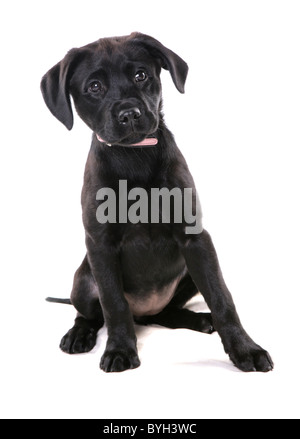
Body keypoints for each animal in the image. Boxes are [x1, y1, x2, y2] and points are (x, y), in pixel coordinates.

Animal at [41, 32, 274, 372]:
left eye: (141, 75)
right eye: (94, 87)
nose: (129, 114)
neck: (134, 158)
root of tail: (144, 310)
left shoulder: (196, 239)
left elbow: (221, 298)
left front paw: (245, 349)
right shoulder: (100, 245)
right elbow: (114, 304)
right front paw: (120, 349)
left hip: (190, 271)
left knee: (164, 313)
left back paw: (199, 320)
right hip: (84, 279)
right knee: (90, 313)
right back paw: (78, 334)